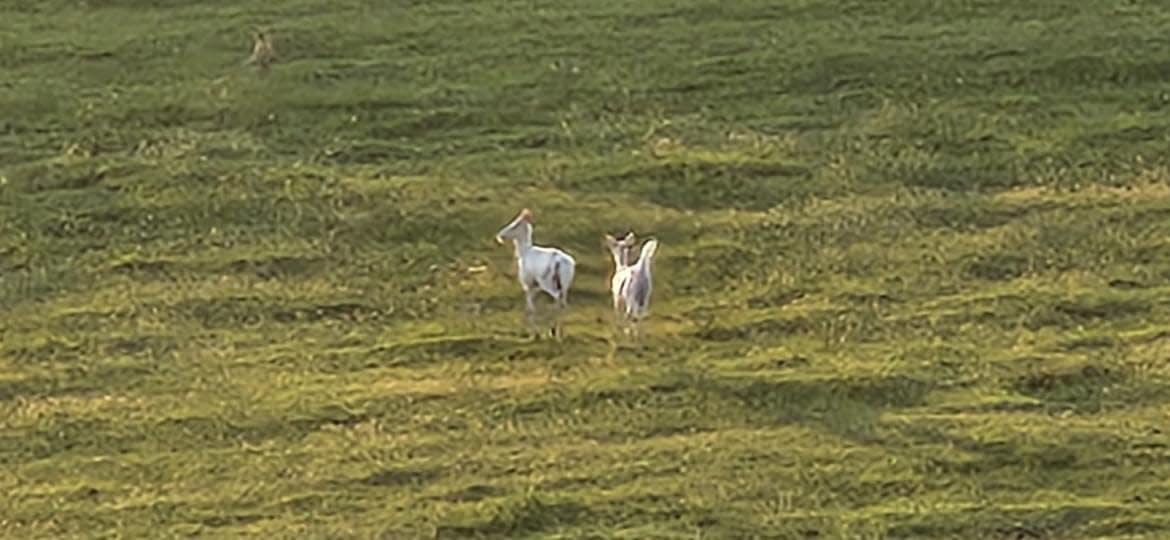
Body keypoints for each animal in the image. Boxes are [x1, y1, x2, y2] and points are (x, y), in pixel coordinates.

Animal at [493, 208, 575, 336]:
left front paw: (533, 332)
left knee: (556, 297)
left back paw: (552, 329)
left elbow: (530, 307)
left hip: (547, 283)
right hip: (565, 284)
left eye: (515, 224)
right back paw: (559, 331)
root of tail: (559, 261)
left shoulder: (527, 284)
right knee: (564, 303)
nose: (500, 236)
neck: (524, 252)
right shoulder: (536, 286)